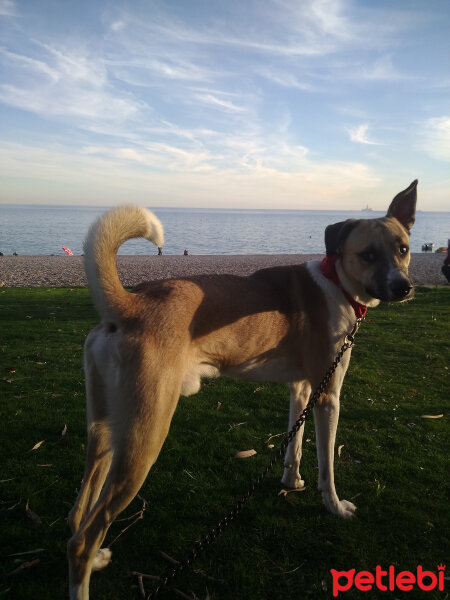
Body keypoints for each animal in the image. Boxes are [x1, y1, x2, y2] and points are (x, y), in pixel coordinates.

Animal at [67, 180, 418, 596]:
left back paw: (95, 557)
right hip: (144, 436)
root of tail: (132, 303)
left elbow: (294, 445)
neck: (337, 284)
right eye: (367, 254)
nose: (404, 287)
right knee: (84, 537)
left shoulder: (302, 389)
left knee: (78, 516)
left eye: (403, 249)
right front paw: (334, 506)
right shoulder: (328, 396)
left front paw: (290, 481)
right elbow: (327, 464)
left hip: (104, 431)